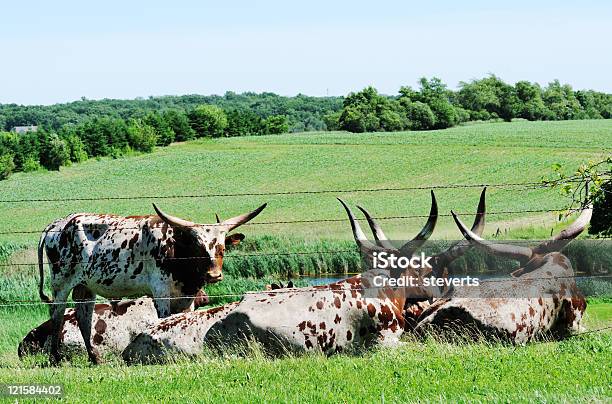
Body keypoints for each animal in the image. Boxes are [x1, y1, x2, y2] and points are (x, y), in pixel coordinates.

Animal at [37, 202, 266, 362]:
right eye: (197, 247)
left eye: (222, 247)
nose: (214, 275)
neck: (176, 250)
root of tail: (56, 224)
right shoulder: (161, 292)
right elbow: (164, 320)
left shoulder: (187, 297)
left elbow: (184, 320)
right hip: (60, 282)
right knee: (57, 314)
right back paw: (55, 358)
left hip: (85, 286)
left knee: (83, 316)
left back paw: (95, 359)